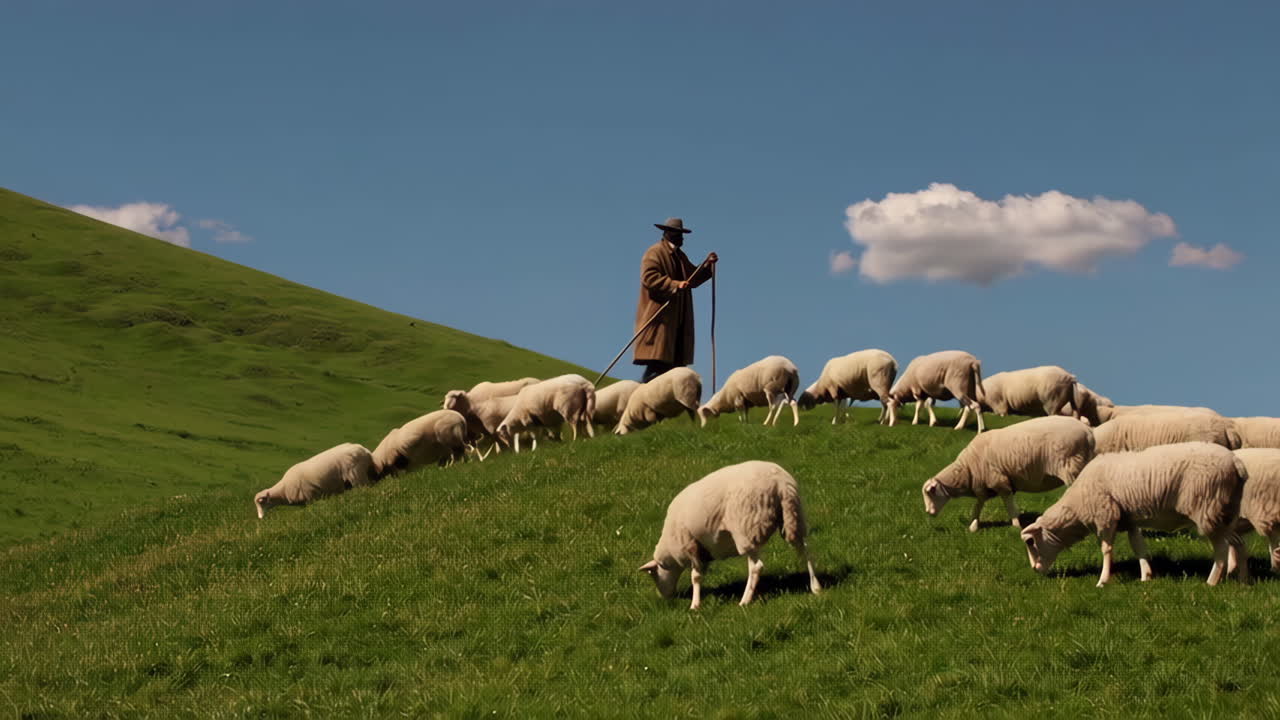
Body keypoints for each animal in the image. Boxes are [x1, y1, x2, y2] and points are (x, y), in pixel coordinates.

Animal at [639, 460, 821, 610]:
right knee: (805, 550)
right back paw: (816, 587)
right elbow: (700, 574)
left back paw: (744, 601)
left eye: (653, 575)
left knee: (756, 567)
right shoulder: (702, 551)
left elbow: (695, 577)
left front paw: (694, 605)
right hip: (793, 515)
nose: (664, 598)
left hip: (747, 528)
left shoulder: (690, 545)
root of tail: (780, 482)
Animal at [922, 416, 1096, 532]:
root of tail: (1087, 430)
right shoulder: (983, 486)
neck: (967, 470)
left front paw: (1016, 525)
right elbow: (978, 505)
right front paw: (973, 525)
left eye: (931, 493)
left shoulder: (999, 481)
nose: (928, 513)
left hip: (1071, 465)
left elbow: (1008, 504)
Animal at [1020, 442, 1247, 587]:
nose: (1034, 569)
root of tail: (1236, 463)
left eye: (1030, 541)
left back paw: (1211, 582)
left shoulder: (1106, 515)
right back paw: (1241, 579)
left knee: (1221, 547)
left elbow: (1106, 549)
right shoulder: (1128, 518)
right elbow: (1138, 546)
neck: (1076, 506)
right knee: (1237, 542)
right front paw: (1146, 576)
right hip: (1227, 510)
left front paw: (1102, 581)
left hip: (1207, 507)